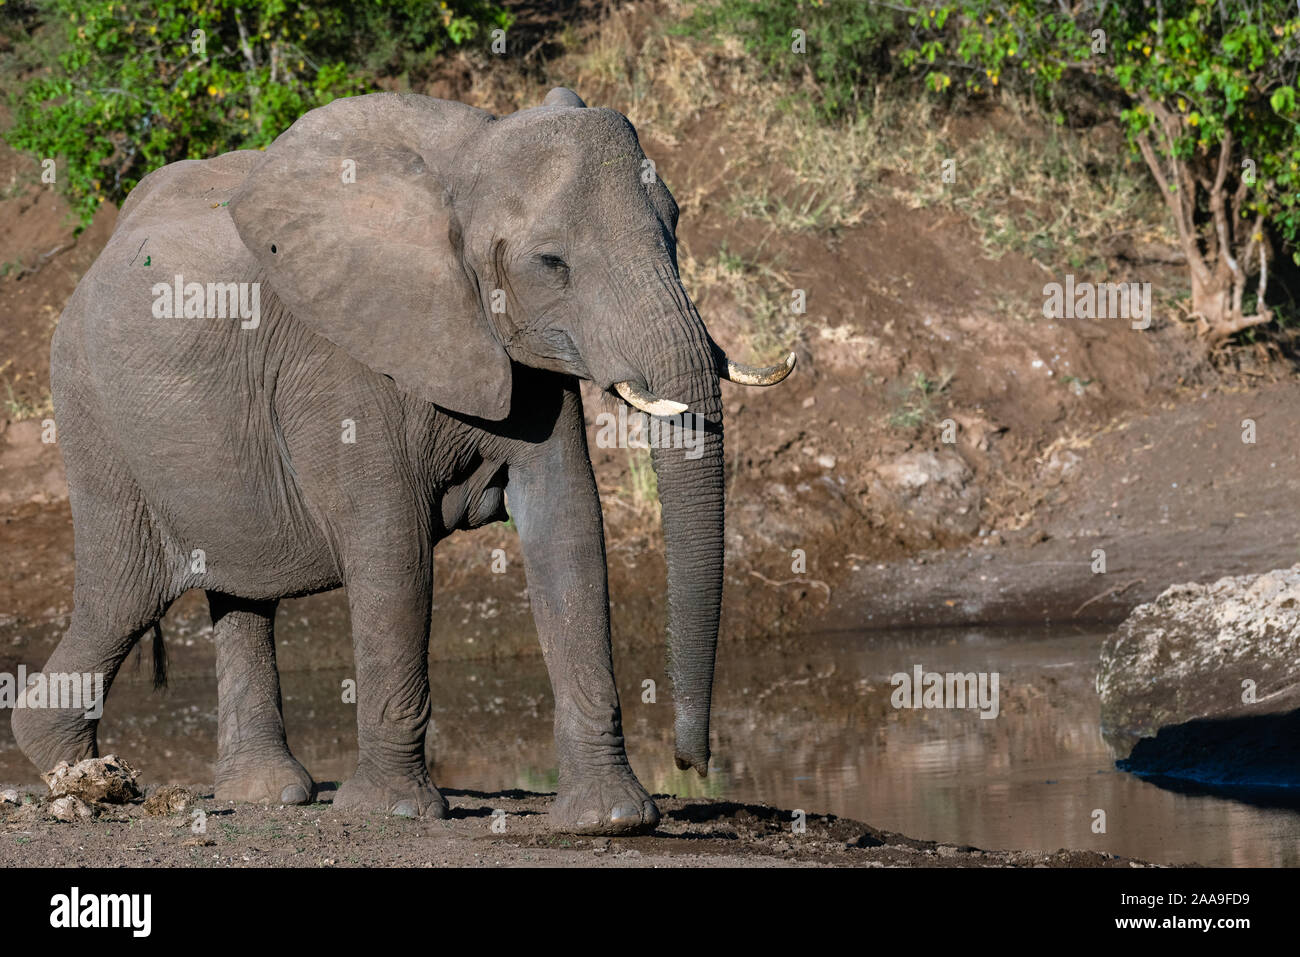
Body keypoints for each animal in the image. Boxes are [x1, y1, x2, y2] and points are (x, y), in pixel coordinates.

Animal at [10, 91, 790, 837]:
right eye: (552, 264)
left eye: (676, 227)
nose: (695, 763)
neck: (469, 162)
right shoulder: (342, 357)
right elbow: (393, 550)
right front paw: (393, 811)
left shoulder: (526, 356)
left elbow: (567, 527)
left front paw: (611, 819)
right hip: (92, 415)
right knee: (125, 591)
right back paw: (77, 775)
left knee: (239, 593)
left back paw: (263, 793)